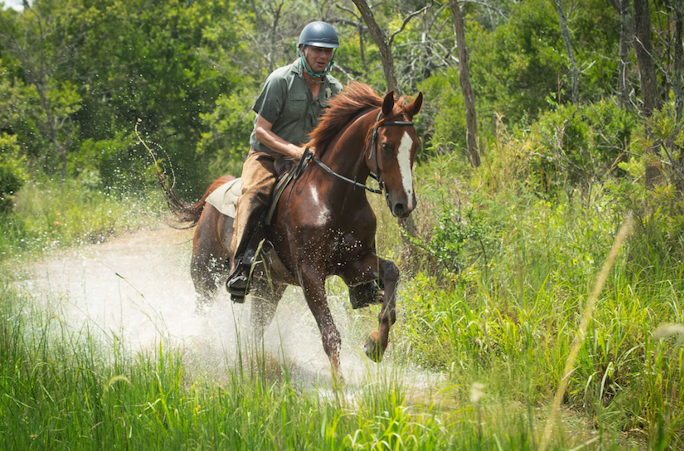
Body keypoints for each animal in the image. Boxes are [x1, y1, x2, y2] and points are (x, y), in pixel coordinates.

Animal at [166, 83, 422, 372]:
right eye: (387, 145)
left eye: (415, 146)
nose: (404, 204)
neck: (334, 198)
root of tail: (218, 188)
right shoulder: (310, 272)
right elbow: (330, 335)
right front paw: (340, 382)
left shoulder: (352, 264)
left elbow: (391, 276)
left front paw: (375, 344)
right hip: (206, 274)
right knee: (203, 312)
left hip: (268, 288)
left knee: (255, 328)